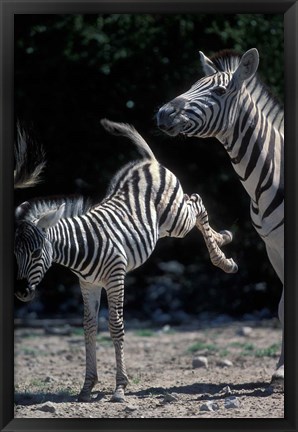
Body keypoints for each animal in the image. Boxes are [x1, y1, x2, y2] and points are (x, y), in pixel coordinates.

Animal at [14, 120, 237, 404]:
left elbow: (115, 326)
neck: (81, 247)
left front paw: (120, 387)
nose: (21, 292)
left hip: (176, 220)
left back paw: (223, 257)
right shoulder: (88, 285)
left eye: (36, 252)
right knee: (193, 202)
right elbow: (88, 328)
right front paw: (87, 387)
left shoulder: (115, 277)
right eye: (15, 253)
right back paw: (223, 238)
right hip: (165, 224)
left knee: (196, 202)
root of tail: (147, 162)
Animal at [156, 48, 284, 388]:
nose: (162, 113)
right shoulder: (273, 247)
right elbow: (283, 308)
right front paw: (281, 370)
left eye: (220, 91)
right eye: (193, 85)